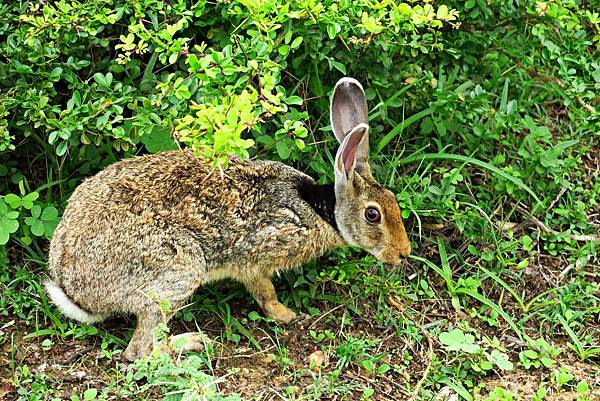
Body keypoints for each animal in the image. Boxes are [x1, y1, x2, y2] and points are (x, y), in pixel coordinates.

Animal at [45, 76, 412, 360]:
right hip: (177, 267)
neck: (319, 209)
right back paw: (192, 342)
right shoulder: (255, 257)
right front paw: (286, 315)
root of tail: (76, 292)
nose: (403, 253)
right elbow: (264, 291)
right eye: (373, 214)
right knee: (139, 351)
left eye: (394, 202)